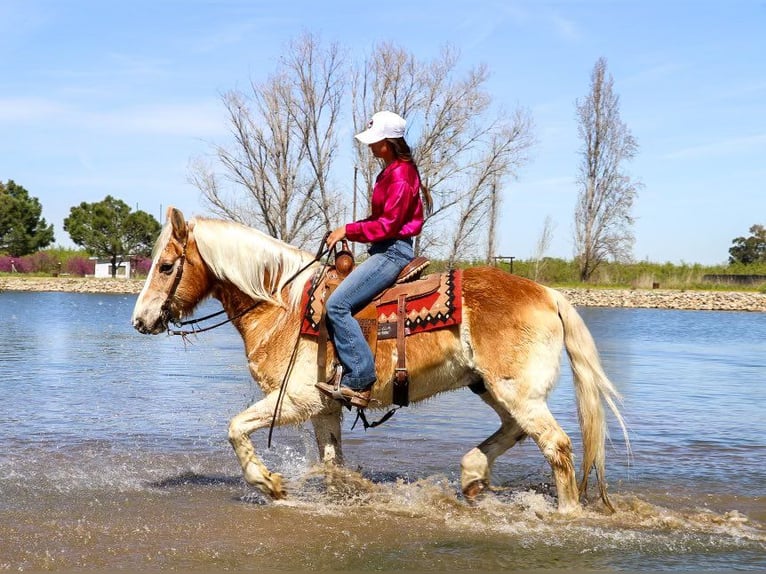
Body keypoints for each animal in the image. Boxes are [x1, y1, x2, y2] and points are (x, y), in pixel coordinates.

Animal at [132, 209, 632, 516]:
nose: (140, 319)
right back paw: (472, 474)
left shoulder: (294, 399)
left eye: (165, 266)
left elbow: (236, 428)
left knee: (557, 446)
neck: (282, 307)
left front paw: (269, 483)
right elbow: (333, 464)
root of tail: (547, 293)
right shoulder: (325, 407)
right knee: (514, 431)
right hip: (491, 386)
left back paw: (566, 513)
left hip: (517, 391)